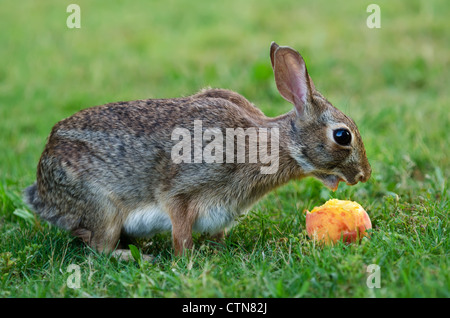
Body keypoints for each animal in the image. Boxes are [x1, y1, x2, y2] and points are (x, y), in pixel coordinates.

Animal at [22, 42, 370, 258]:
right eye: (342, 136)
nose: (364, 175)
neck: (272, 143)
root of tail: (41, 189)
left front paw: (216, 250)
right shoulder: (181, 190)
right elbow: (180, 229)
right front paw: (185, 260)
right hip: (102, 208)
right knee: (98, 246)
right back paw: (137, 256)